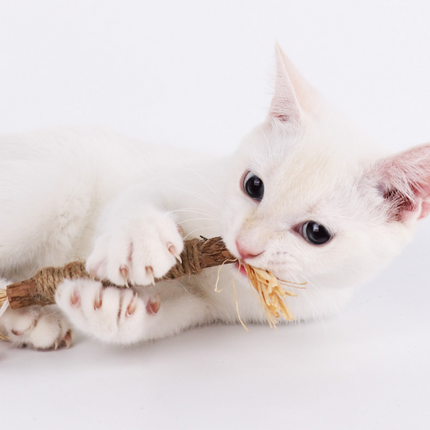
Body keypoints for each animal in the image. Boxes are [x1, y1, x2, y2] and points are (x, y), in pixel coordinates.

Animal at [0, 45, 428, 350]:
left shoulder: (203, 309)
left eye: (316, 233)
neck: (220, 282)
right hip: (56, 184)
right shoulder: (172, 179)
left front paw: (109, 310)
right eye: (253, 186)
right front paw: (139, 242)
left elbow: (163, 316)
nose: (245, 246)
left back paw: (29, 321)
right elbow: (135, 198)